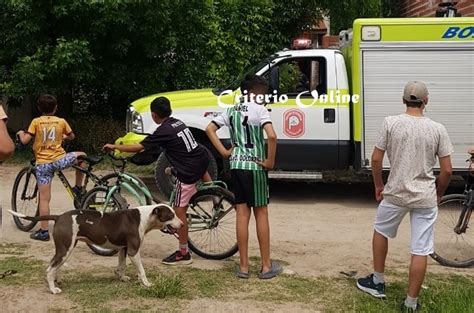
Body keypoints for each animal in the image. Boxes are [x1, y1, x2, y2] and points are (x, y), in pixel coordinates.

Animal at [9, 205, 183, 292]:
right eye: (171, 215)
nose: (182, 224)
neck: (144, 217)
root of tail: (59, 217)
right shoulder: (134, 251)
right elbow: (141, 270)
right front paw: (146, 284)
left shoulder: (123, 248)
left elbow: (121, 266)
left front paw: (122, 278)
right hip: (66, 248)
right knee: (50, 268)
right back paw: (53, 289)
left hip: (65, 248)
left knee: (54, 265)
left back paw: (56, 281)